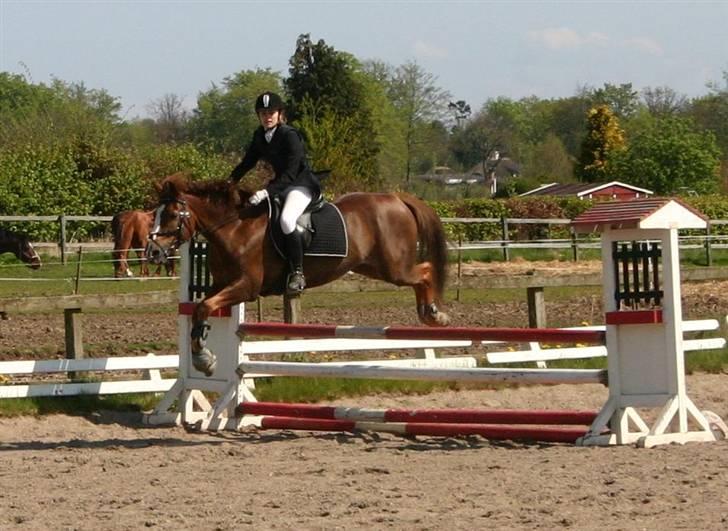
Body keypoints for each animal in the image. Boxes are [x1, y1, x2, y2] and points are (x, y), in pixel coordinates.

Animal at [146, 173, 450, 376]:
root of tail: (397, 198)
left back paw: (434, 314)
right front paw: (203, 357)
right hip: (372, 266)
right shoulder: (222, 284)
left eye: (171, 215)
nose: (152, 252)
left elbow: (204, 306)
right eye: (155, 213)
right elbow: (200, 307)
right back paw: (430, 314)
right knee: (421, 274)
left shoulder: (246, 287)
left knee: (425, 270)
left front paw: (203, 358)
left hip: (394, 267)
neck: (234, 227)